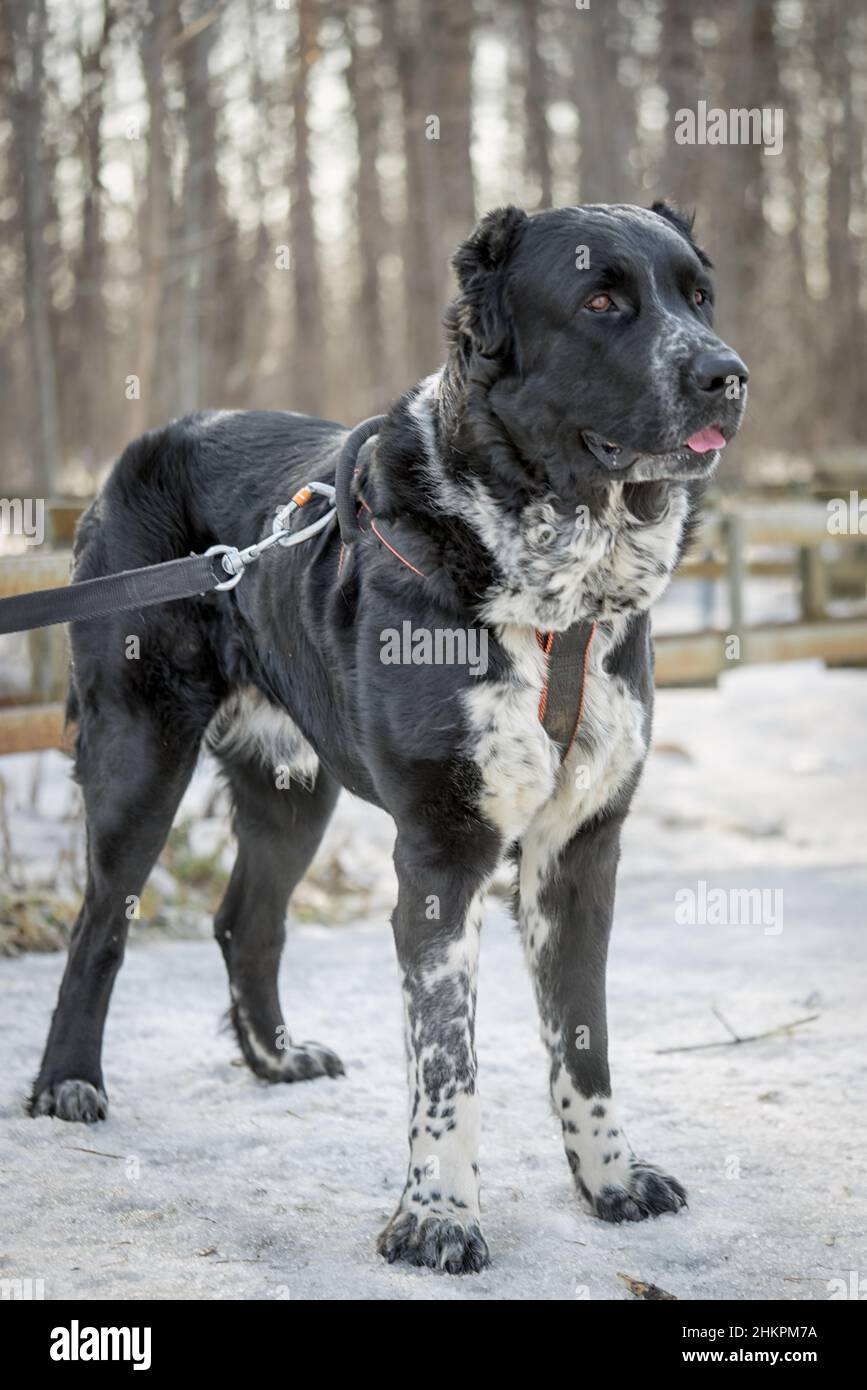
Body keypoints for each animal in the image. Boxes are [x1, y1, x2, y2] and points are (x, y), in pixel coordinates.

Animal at [28, 201, 744, 1273]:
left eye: (698, 297)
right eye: (600, 300)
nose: (726, 374)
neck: (556, 587)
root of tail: (145, 443)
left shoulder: (579, 850)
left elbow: (583, 1039)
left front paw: (610, 1182)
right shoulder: (443, 848)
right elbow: (449, 1061)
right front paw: (437, 1216)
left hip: (293, 786)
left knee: (246, 920)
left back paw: (275, 1057)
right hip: (138, 749)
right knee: (99, 922)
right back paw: (67, 1083)